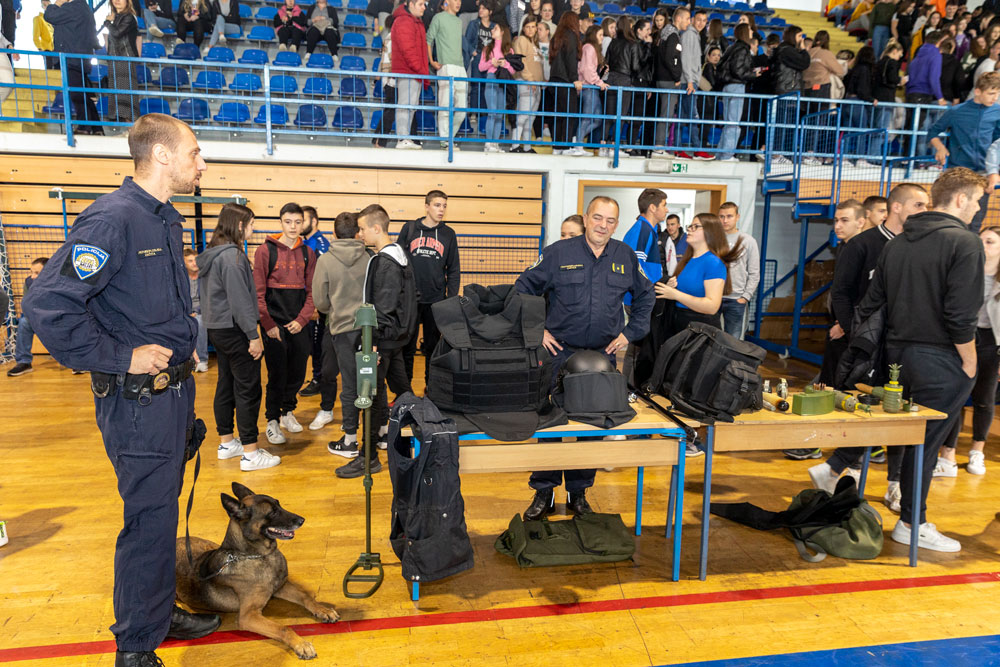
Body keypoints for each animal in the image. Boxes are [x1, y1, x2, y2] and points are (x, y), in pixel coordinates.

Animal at [175, 482, 340, 660]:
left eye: (279, 504)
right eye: (272, 512)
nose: (302, 520)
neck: (260, 556)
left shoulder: (280, 587)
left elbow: (306, 597)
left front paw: (323, 610)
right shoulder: (249, 616)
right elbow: (283, 628)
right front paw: (301, 644)